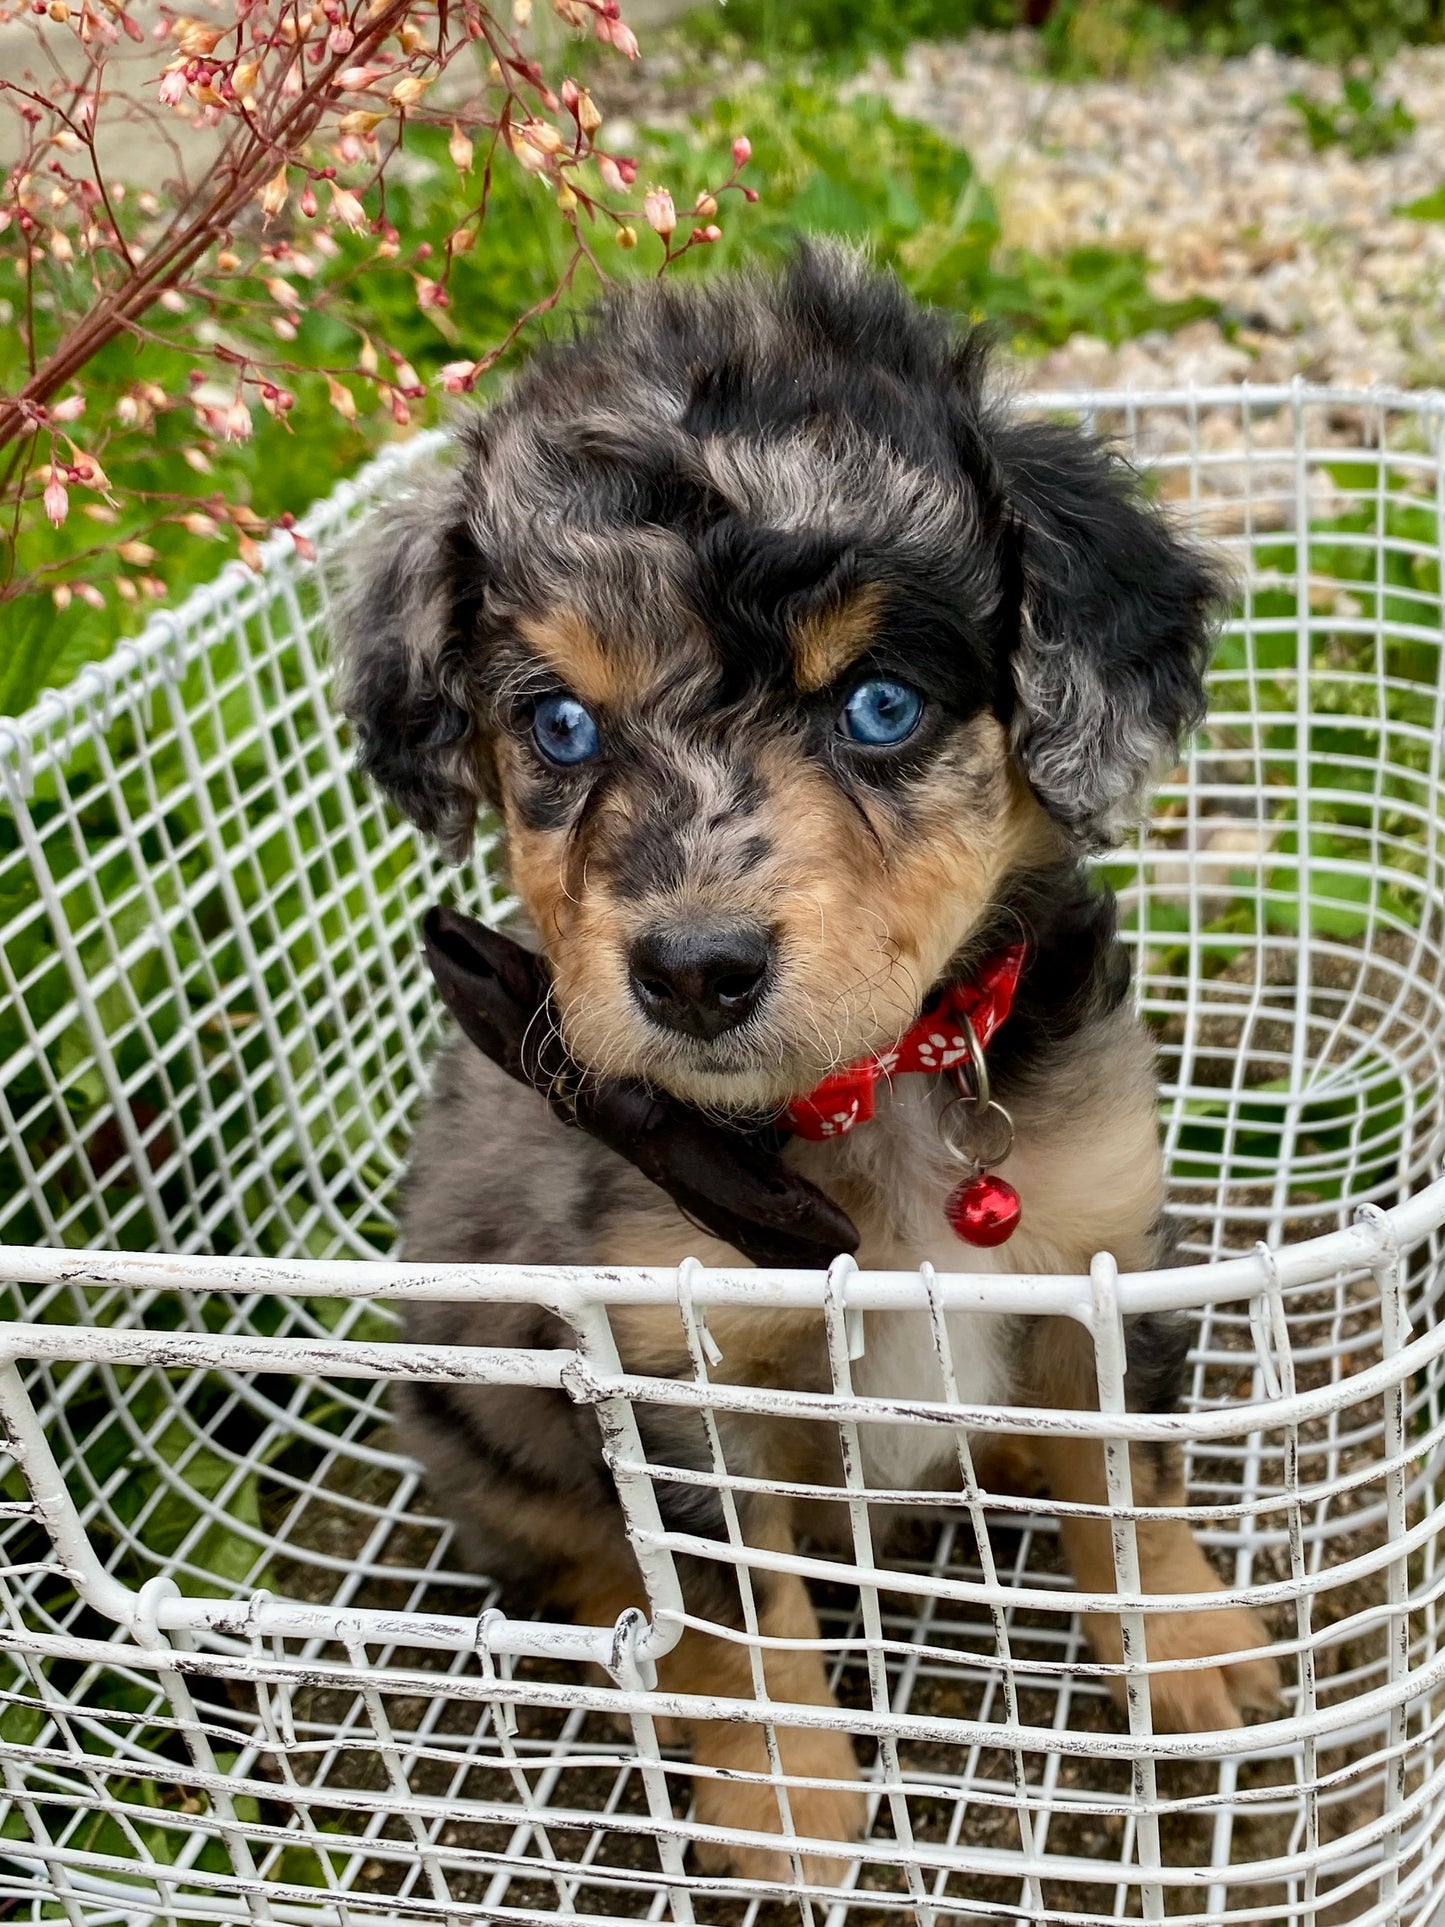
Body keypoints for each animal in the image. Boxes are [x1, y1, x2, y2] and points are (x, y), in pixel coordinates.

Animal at [337, 252, 1279, 1880]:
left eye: (879, 705)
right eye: (559, 723)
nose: (693, 972)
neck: (864, 1097)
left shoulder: (1100, 1248)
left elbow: (1129, 1476)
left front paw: (1182, 1641)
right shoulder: (673, 1370)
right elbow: (737, 1613)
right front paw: (782, 1797)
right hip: (474, 1416)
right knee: (578, 1566)